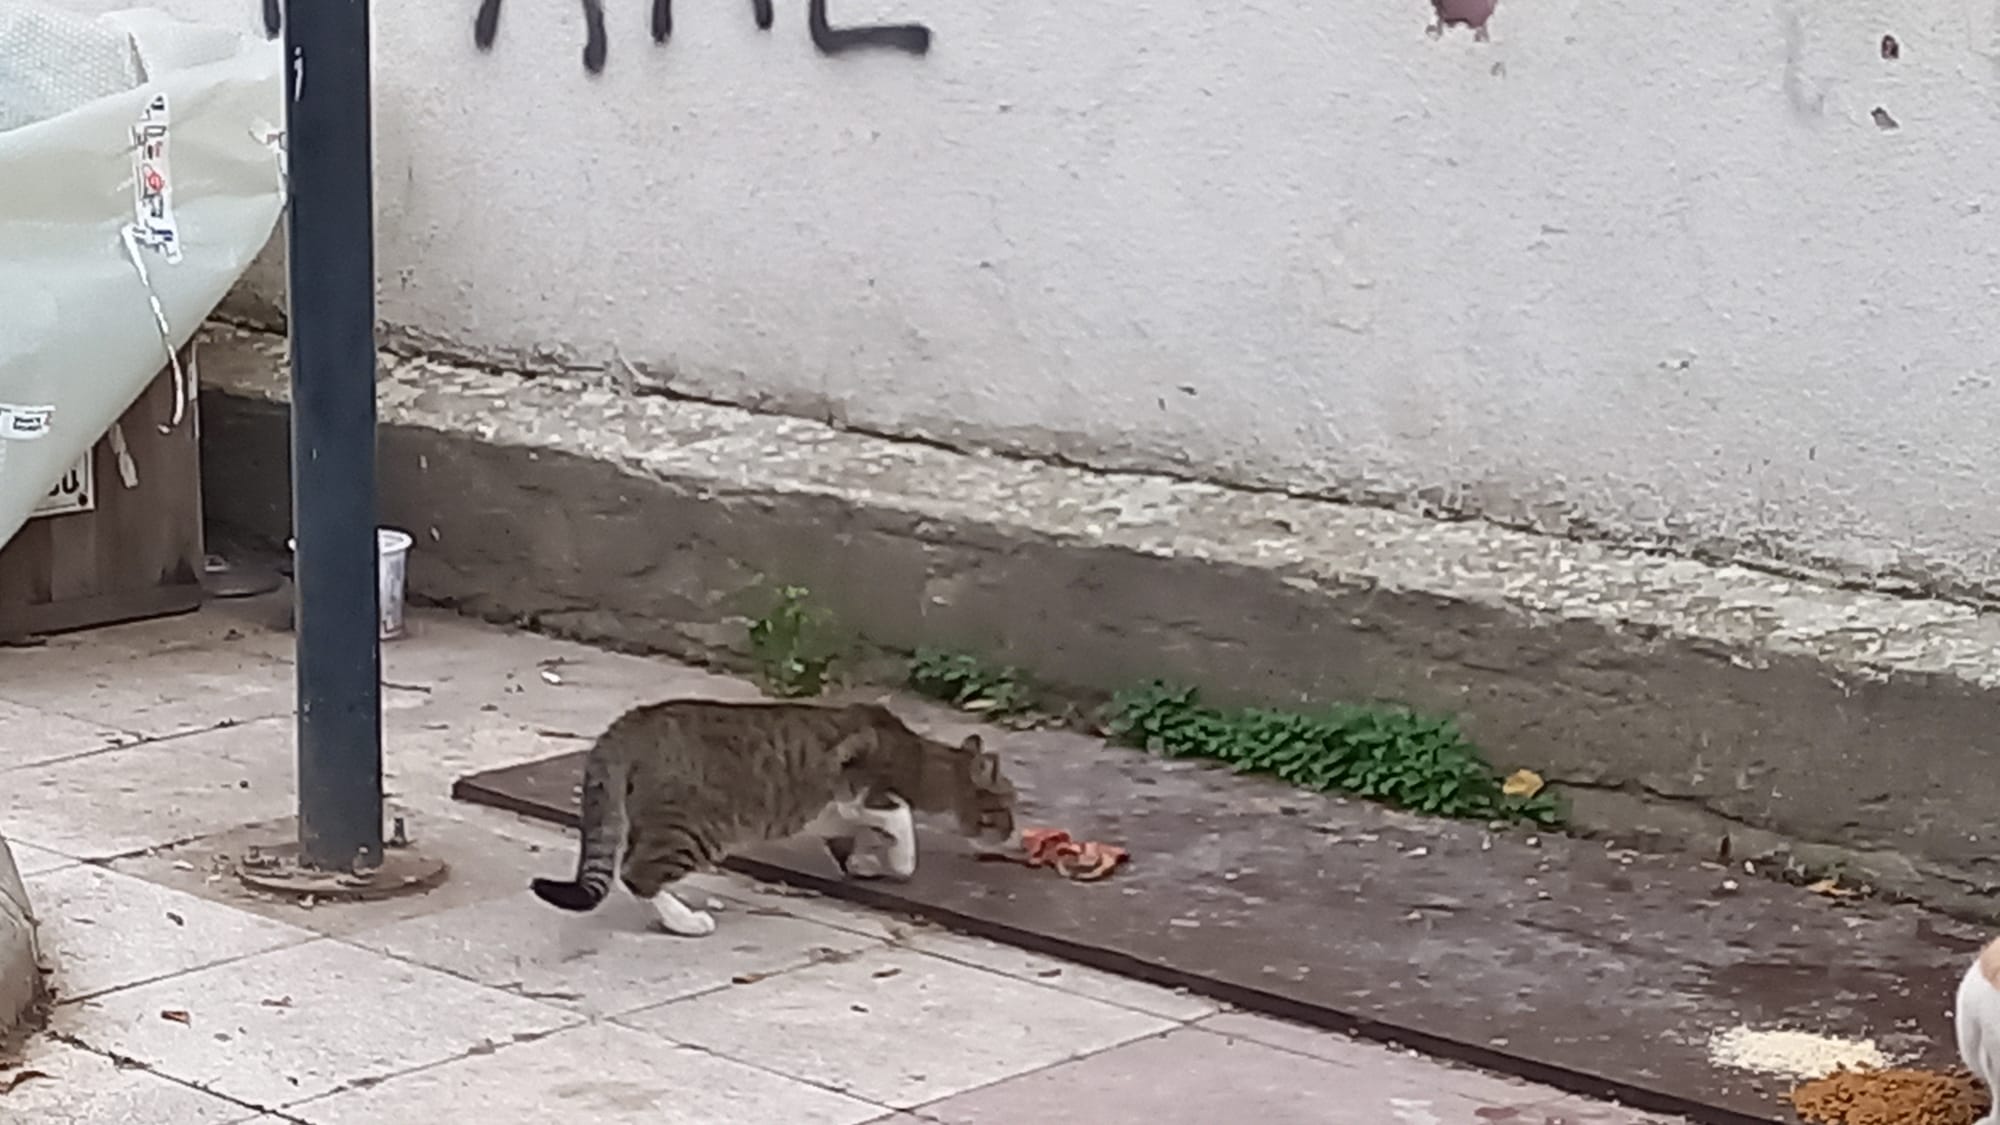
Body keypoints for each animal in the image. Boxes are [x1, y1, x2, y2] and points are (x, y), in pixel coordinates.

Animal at [532, 696, 1016, 932]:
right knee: (637, 874)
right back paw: (686, 921)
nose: (1014, 832)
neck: (923, 759)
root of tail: (631, 722)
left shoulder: (835, 815)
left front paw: (864, 863)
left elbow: (846, 840)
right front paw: (901, 861)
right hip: (696, 829)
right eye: (1007, 807)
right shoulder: (860, 790)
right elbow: (901, 819)